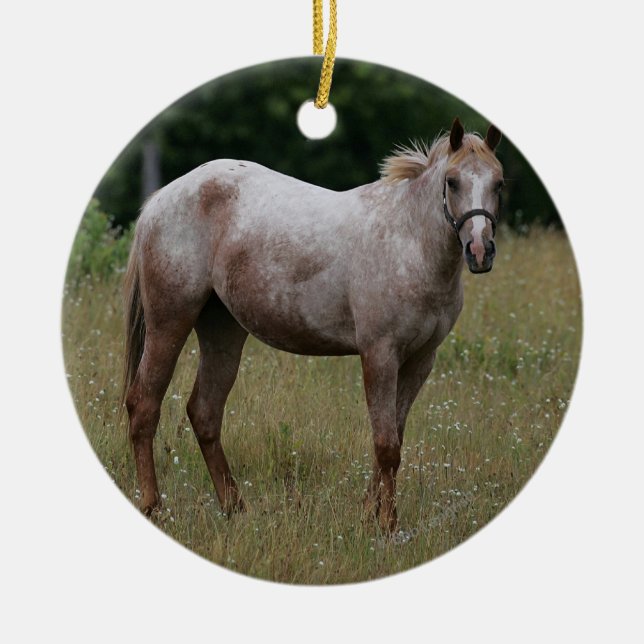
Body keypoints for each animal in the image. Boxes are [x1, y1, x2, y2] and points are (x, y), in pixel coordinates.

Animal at [122, 117, 503, 532]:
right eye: (452, 181)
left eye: (499, 183)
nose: (480, 251)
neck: (409, 243)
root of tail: (160, 199)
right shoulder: (380, 355)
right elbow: (386, 445)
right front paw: (386, 526)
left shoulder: (420, 361)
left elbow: (393, 438)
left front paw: (369, 515)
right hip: (169, 322)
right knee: (144, 404)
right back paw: (152, 505)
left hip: (222, 331)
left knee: (205, 413)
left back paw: (235, 508)